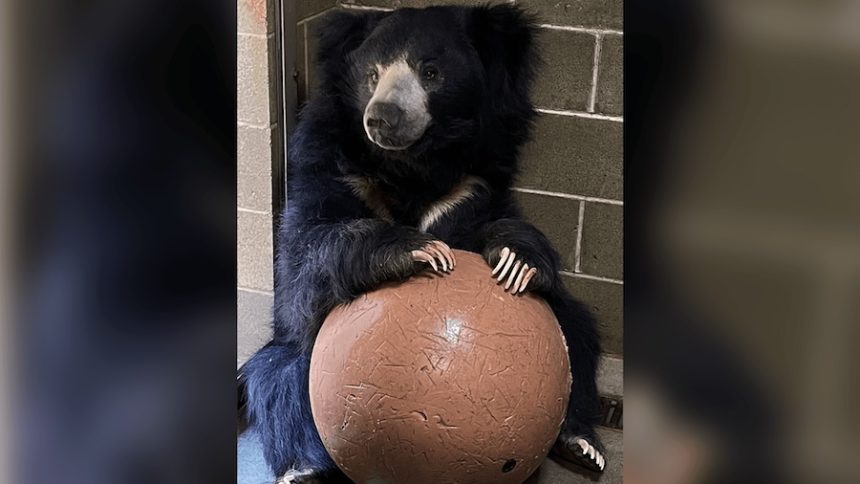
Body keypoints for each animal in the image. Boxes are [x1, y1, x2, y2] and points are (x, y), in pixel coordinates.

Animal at [239, 4, 606, 481]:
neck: (412, 167)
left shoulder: (472, 185)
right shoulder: (329, 167)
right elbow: (302, 263)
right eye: (372, 75)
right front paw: (417, 248)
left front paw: (516, 260)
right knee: (278, 382)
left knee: (578, 335)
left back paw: (582, 444)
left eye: (430, 72)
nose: (382, 117)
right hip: (290, 369)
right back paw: (304, 469)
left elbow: (500, 226)